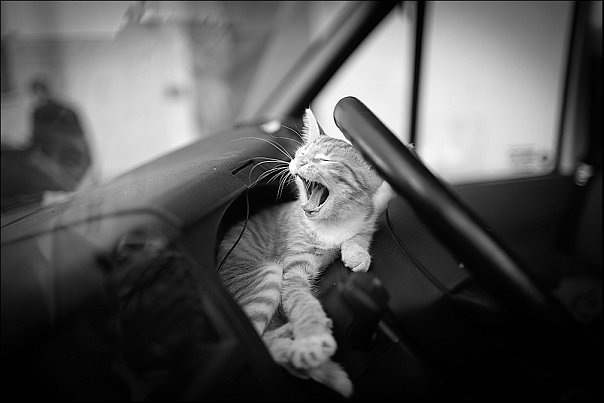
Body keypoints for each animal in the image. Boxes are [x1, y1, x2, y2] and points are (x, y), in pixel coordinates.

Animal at [217, 108, 395, 397]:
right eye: (301, 153)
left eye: (324, 159)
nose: (298, 163)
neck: (331, 224)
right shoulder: (294, 270)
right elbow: (302, 302)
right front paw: (311, 336)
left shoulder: (367, 215)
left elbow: (364, 227)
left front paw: (356, 251)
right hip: (266, 274)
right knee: (261, 340)